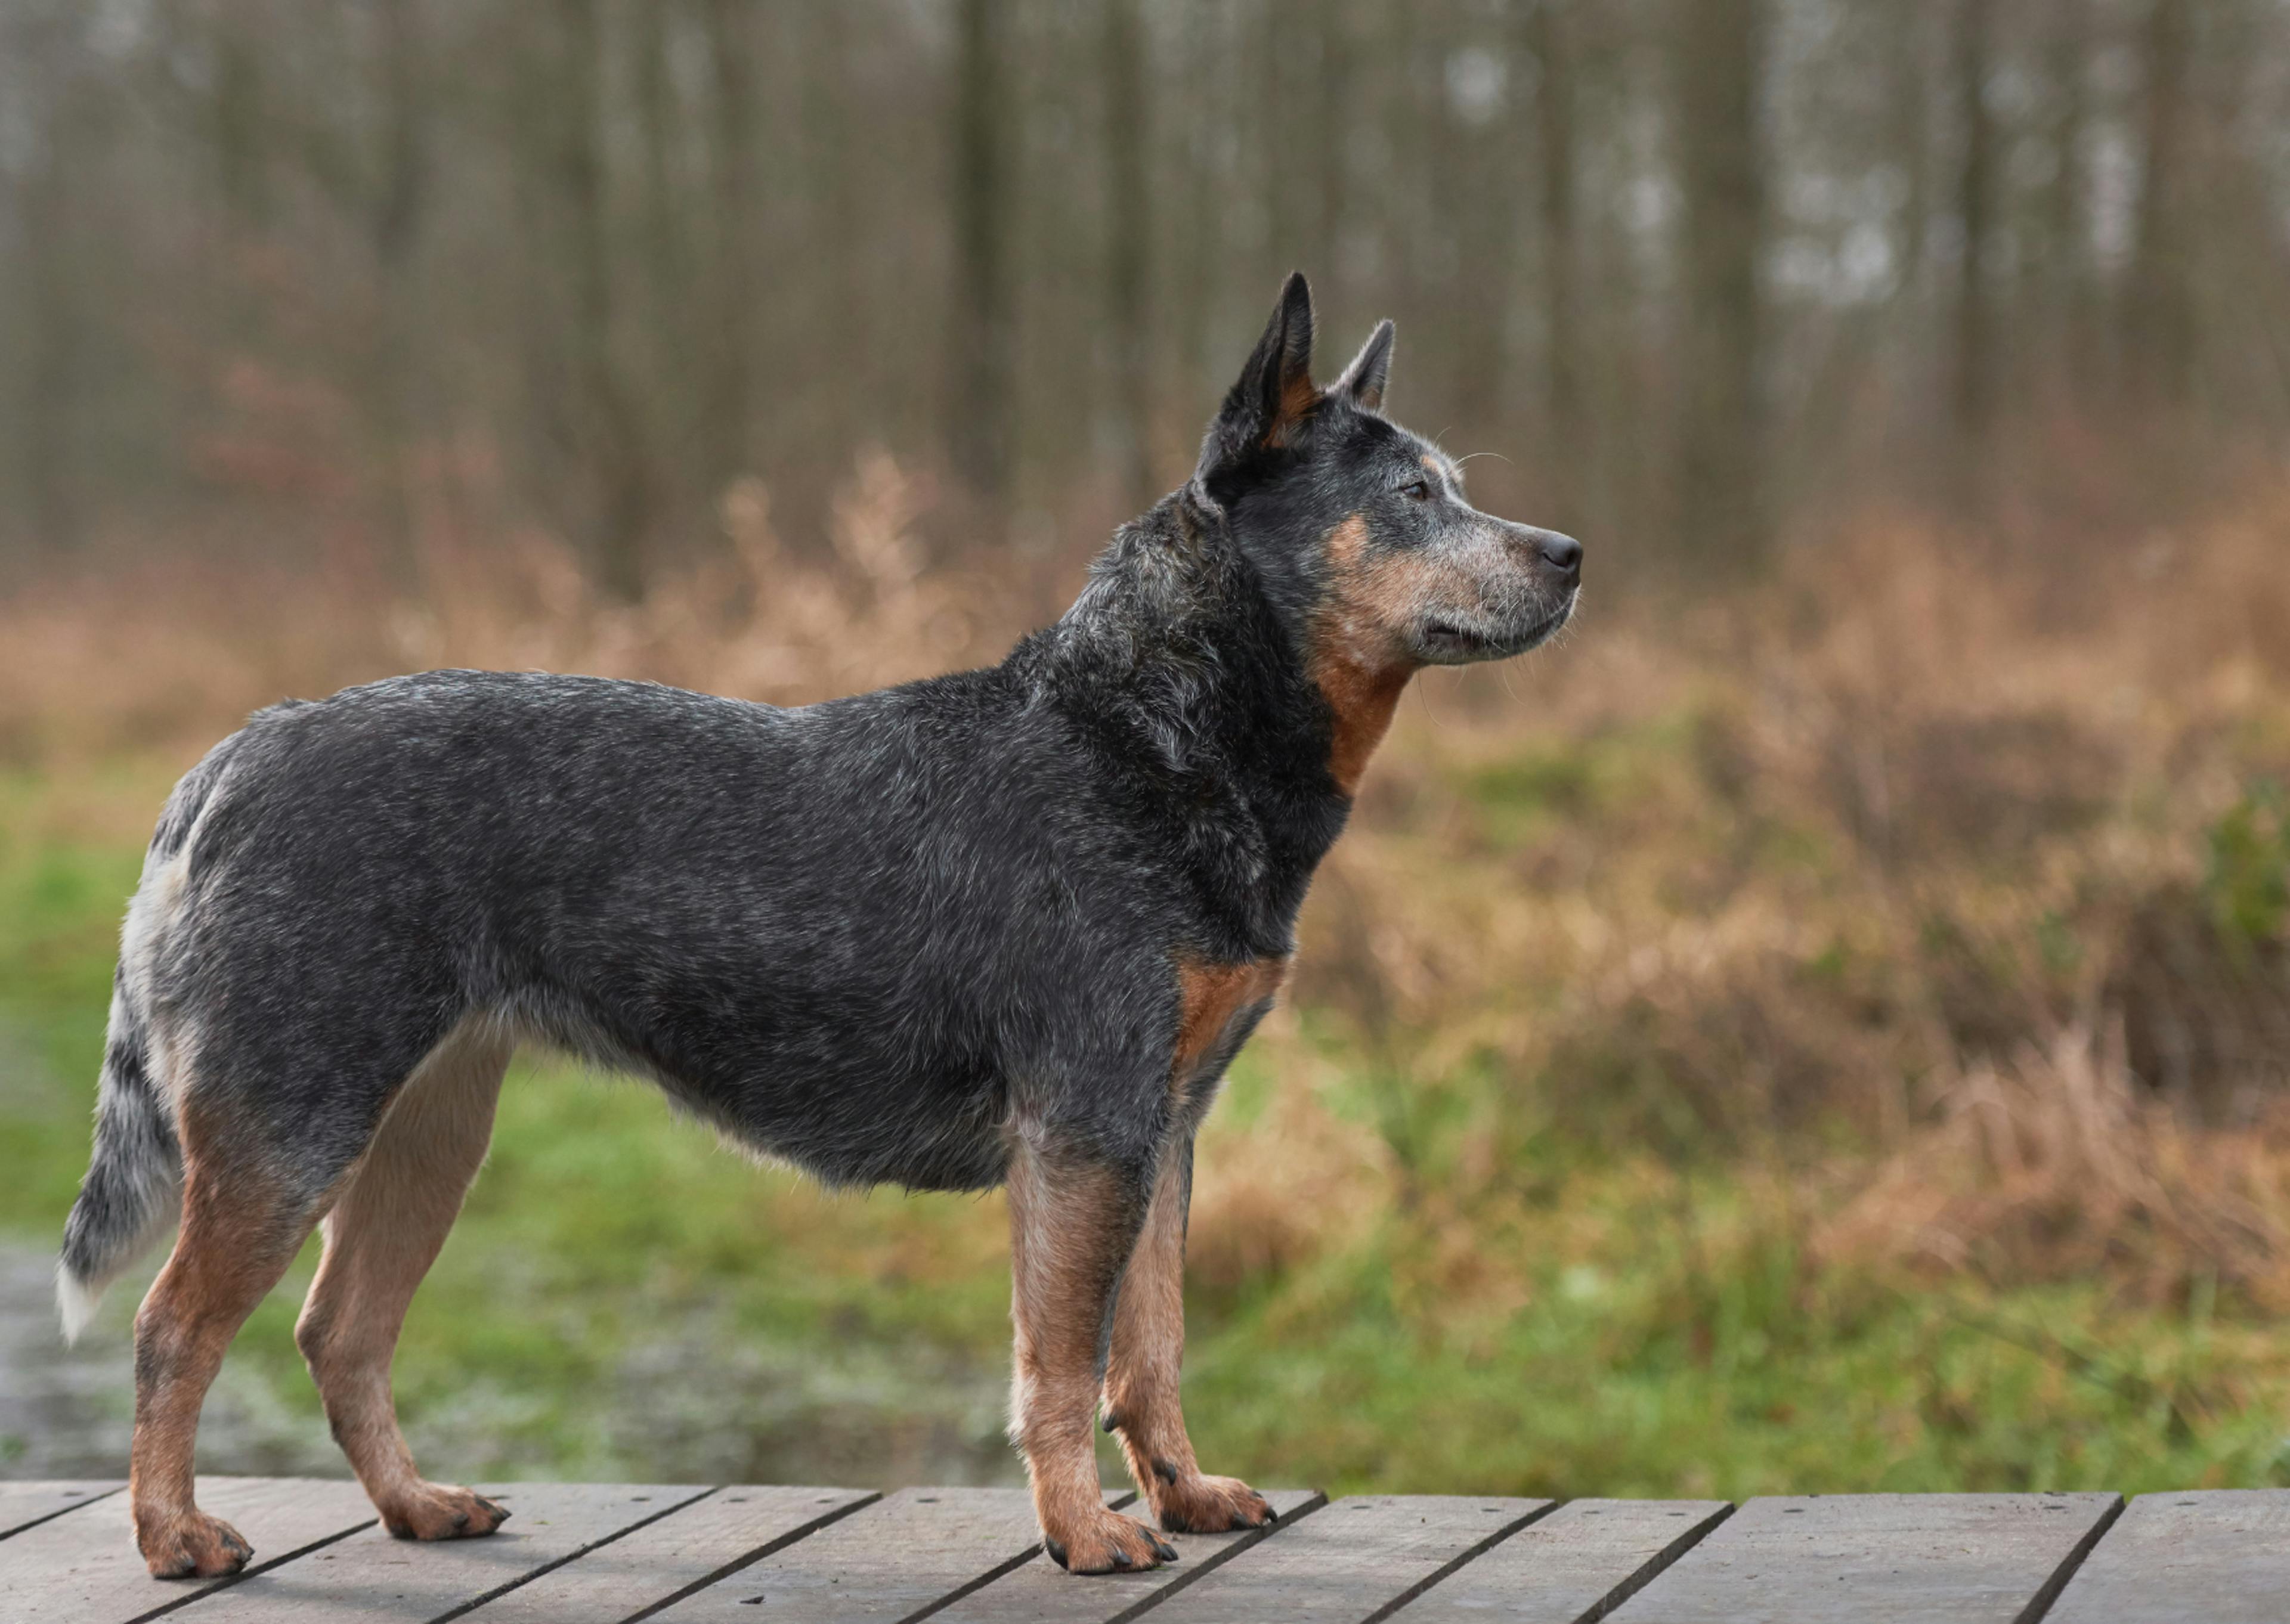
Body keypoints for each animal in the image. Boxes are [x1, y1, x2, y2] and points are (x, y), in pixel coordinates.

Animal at [63, 272, 1585, 1576]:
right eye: (1411, 496)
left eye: (1458, 487)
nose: (1571, 550)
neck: (1144, 733)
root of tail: (234, 756)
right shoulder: (1085, 1126)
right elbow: (1059, 1362)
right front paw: (1083, 1531)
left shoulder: (1167, 1125)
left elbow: (1148, 1347)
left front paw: (1186, 1493)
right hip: (290, 1124)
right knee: (170, 1328)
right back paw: (172, 1535)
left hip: (429, 1127)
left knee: (338, 1331)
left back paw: (416, 1506)